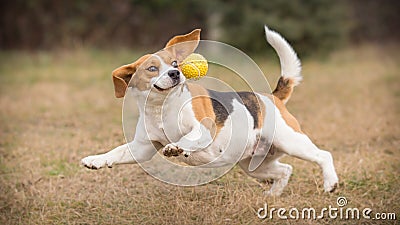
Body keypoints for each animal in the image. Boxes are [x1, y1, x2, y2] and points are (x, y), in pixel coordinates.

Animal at [80, 25, 338, 195]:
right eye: (152, 68)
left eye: (174, 63)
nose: (175, 73)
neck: (163, 107)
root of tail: (272, 97)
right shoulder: (142, 148)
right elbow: (116, 152)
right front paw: (96, 160)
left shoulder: (204, 129)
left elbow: (188, 137)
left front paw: (177, 147)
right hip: (255, 165)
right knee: (285, 170)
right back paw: (272, 196)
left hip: (292, 141)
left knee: (323, 155)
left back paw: (330, 183)